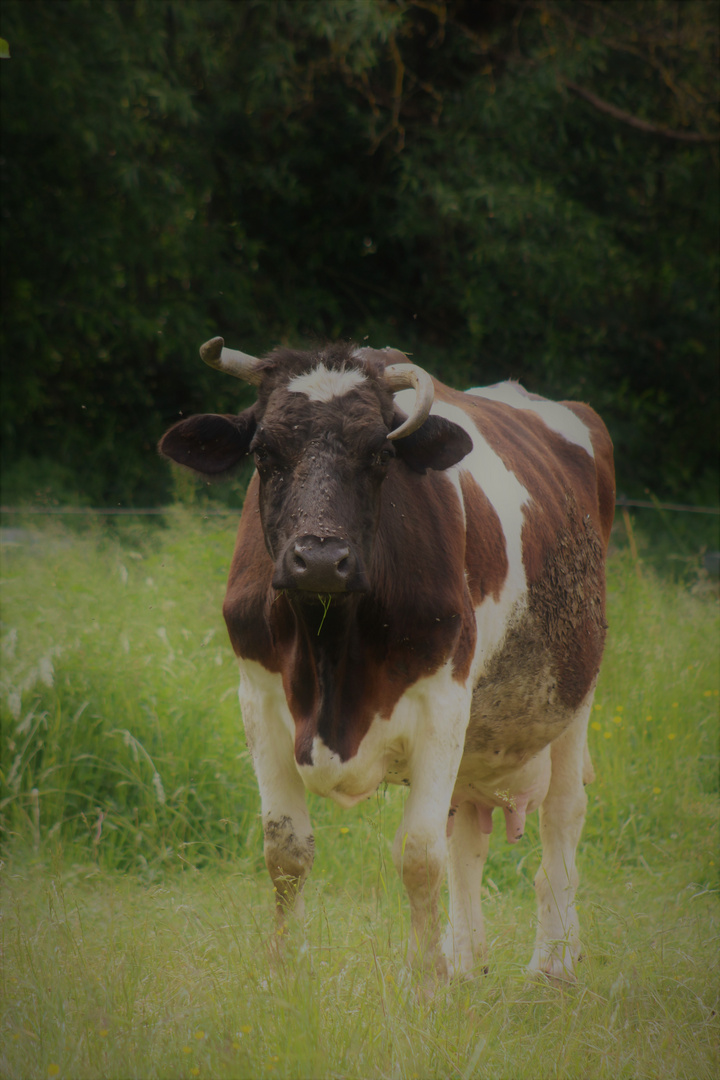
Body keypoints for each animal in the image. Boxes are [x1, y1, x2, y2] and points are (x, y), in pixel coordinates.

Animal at [160, 334, 617, 989]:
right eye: (262, 451)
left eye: (379, 453)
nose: (319, 559)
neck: (330, 651)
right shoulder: (259, 698)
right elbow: (286, 849)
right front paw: (283, 969)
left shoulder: (444, 697)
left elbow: (419, 854)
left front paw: (425, 982)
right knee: (467, 834)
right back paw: (465, 958)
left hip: (575, 693)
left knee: (561, 815)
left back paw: (552, 961)